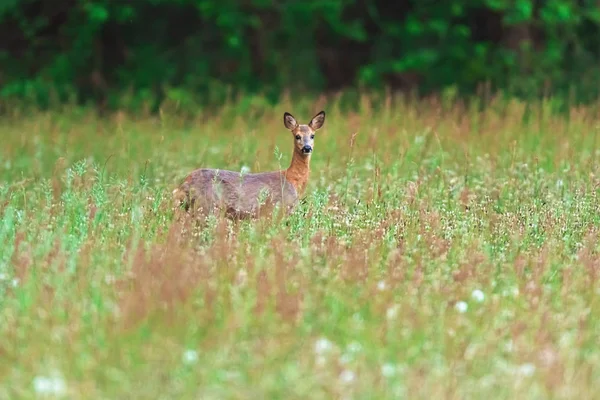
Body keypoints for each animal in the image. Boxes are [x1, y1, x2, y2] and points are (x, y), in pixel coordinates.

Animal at [171, 110, 326, 219]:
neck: (292, 179)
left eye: (312, 135)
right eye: (297, 136)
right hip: (206, 206)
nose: (307, 148)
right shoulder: (279, 208)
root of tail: (183, 185)